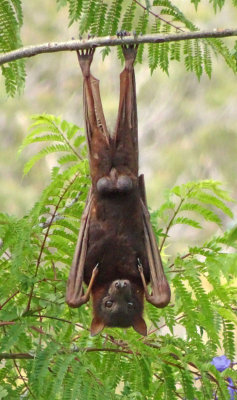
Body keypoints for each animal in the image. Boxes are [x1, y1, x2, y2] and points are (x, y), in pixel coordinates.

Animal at [66, 43, 170, 336]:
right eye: (109, 304)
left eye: (131, 304)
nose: (121, 285)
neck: (115, 271)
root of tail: (114, 177)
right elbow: (73, 297)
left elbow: (161, 296)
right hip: (108, 160)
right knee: (108, 131)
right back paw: (94, 61)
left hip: (118, 159)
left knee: (121, 127)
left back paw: (120, 58)